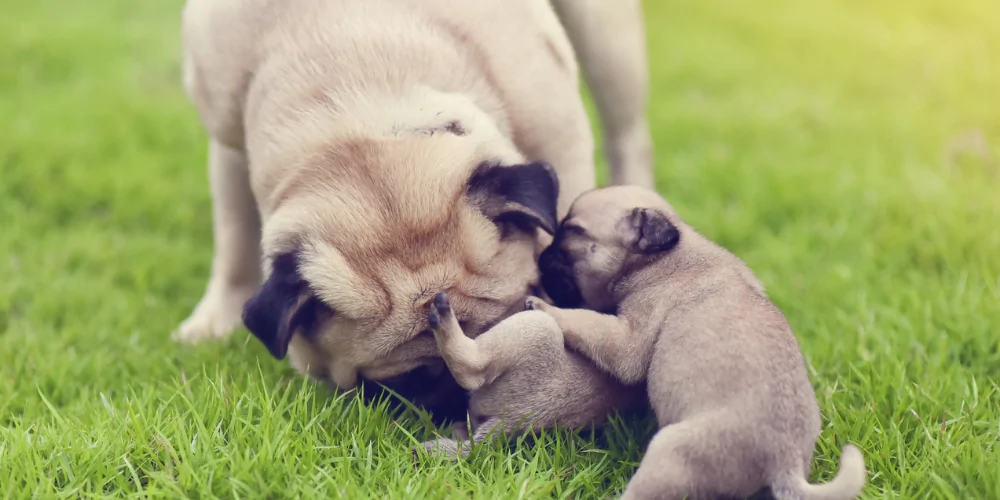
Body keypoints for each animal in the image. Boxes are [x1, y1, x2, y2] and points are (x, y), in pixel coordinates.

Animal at [172, 0, 656, 414]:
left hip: (607, 42)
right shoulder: (228, 140)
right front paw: (215, 321)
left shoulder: (559, 132)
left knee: (627, 134)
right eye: (411, 381)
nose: (468, 393)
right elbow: (235, 240)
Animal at [532, 187, 868, 500]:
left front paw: (545, 307)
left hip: (669, 453)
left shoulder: (629, 337)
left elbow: (586, 322)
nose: (541, 257)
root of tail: (785, 461)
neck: (663, 259)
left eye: (572, 234)